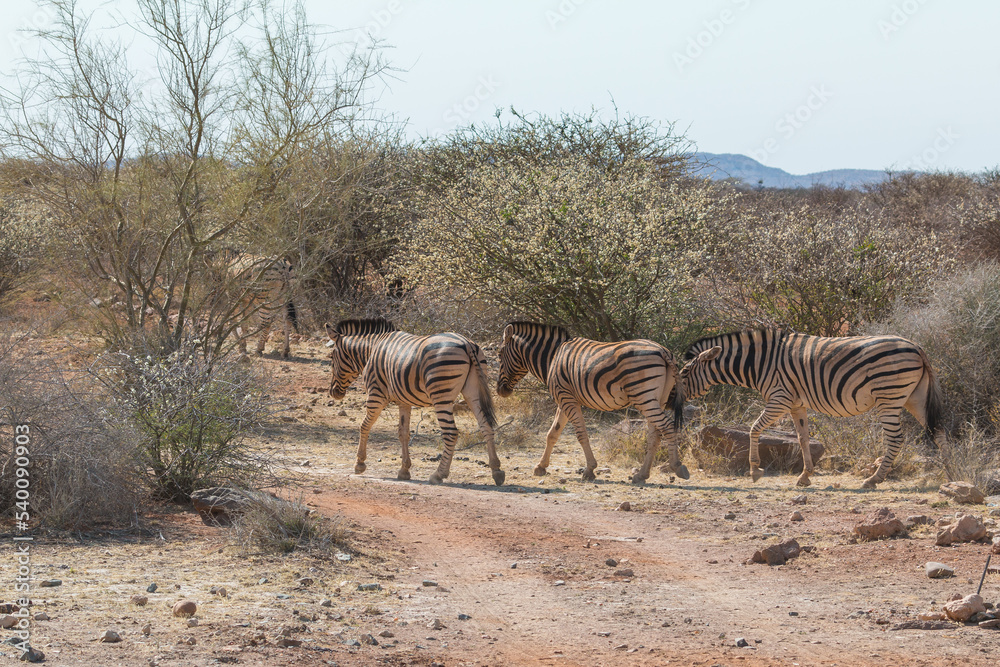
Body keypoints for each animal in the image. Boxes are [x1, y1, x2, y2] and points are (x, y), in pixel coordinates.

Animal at [324, 319, 505, 486]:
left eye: (332, 358)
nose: (333, 393)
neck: (371, 350)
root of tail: (467, 343)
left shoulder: (376, 395)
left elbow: (364, 426)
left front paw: (359, 464)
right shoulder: (404, 401)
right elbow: (403, 433)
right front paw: (404, 470)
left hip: (441, 395)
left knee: (451, 433)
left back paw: (438, 474)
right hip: (473, 392)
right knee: (486, 426)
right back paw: (497, 471)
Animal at [496, 322, 687, 484]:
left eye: (499, 355)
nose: (499, 391)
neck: (553, 357)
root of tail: (663, 350)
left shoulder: (566, 398)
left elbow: (581, 434)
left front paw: (589, 470)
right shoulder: (564, 399)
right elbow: (552, 434)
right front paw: (541, 467)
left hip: (644, 397)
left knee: (667, 427)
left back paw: (677, 467)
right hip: (658, 399)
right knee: (655, 435)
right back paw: (641, 475)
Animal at [680, 328, 944, 488]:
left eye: (683, 372)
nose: (676, 400)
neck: (760, 363)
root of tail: (916, 346)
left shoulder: (780, 398)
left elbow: (755, 428)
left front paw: (754, 470)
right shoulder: (796, 405)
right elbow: (803, 437)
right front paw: (805, 476)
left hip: (888, 397)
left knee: (896, 439)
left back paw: (873, 479)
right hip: (914, 397)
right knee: (938, 431)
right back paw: (946, 472)